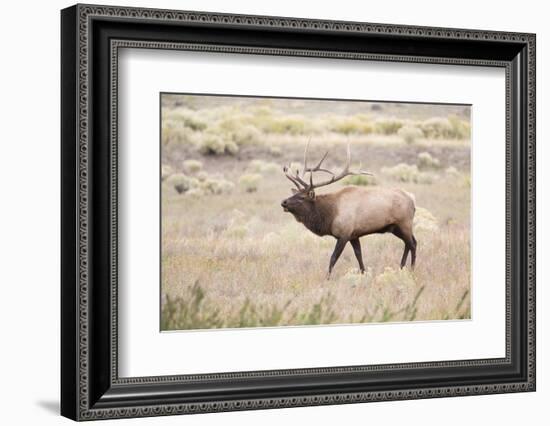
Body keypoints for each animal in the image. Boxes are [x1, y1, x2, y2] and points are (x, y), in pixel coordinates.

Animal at [284, 141, 418, 278]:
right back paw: (402, 267)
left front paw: (327, 278)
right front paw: (363, 273)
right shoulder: (354, 235)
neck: (330, 215)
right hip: (395, 228)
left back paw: (412, 270)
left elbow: (333, 258)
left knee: (412, 243)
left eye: (301, 197)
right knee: (409, 243)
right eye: (294, 194)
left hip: (404, 223)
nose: (283, 202)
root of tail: (412, 199)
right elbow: (359, 255)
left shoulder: (344, 234)